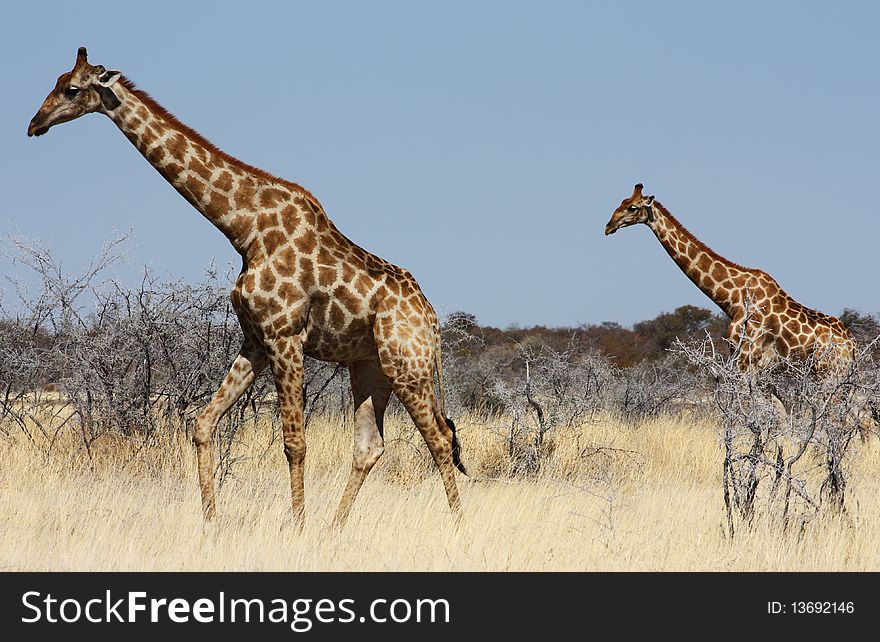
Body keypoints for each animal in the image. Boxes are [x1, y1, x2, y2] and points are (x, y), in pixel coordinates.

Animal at [27, 47, 468, 528]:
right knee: (371, 446)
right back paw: (334, 530)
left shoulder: (285, 335)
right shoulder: (255, 339)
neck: (244, 229)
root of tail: (432, 321)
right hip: (369, 366)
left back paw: (456, 529)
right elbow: (202, 424)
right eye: (54, 81)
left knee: (439, 439)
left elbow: (295, 442)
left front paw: (297, 529)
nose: (35, 123)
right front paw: (210, 524)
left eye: (72, 89)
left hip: (408, 364)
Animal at [600, 182, 856, 372]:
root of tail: (852, 346)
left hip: (829, 373)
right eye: (622, 202)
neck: (733, 298)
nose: (608, 226)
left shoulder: (745, 358)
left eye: (633, 207)